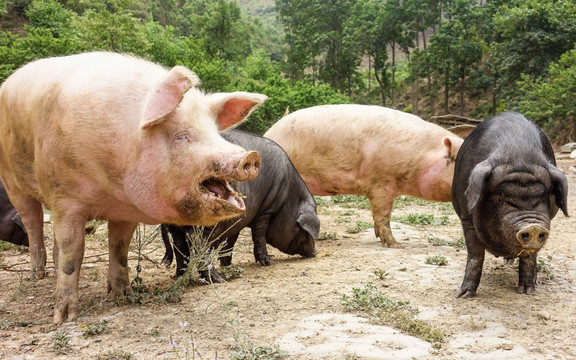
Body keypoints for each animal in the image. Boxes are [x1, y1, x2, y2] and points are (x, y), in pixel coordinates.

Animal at [0, 51, 266, 324]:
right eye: (182, 136)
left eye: (214, 131)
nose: (251, 156)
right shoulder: (65, 195)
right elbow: (73, 251)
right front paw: (64, 318)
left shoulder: (125, 209)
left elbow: (119, 248)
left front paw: (122, 296)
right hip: (11, 178)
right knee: (33, 223)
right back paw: (36, 275)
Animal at [161, 129, 320, 282]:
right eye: (304, 232)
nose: (315, 252)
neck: (289, 199)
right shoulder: (266, 211)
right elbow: (259, 235)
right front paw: (268, 262)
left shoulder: (236, 221)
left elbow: (230, 243)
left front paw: (228, 266)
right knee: (196, 240)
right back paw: (218, 280)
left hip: (175, 224)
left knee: (179, 245)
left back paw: (182, 277)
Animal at [452, 112, 568, 298]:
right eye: (499, 195)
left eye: (545, 194)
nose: (533, 226)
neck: (519, 158)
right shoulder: (466, 217)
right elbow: (475, 254)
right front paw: (463, 295)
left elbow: (529, 258)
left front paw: (527, 291)